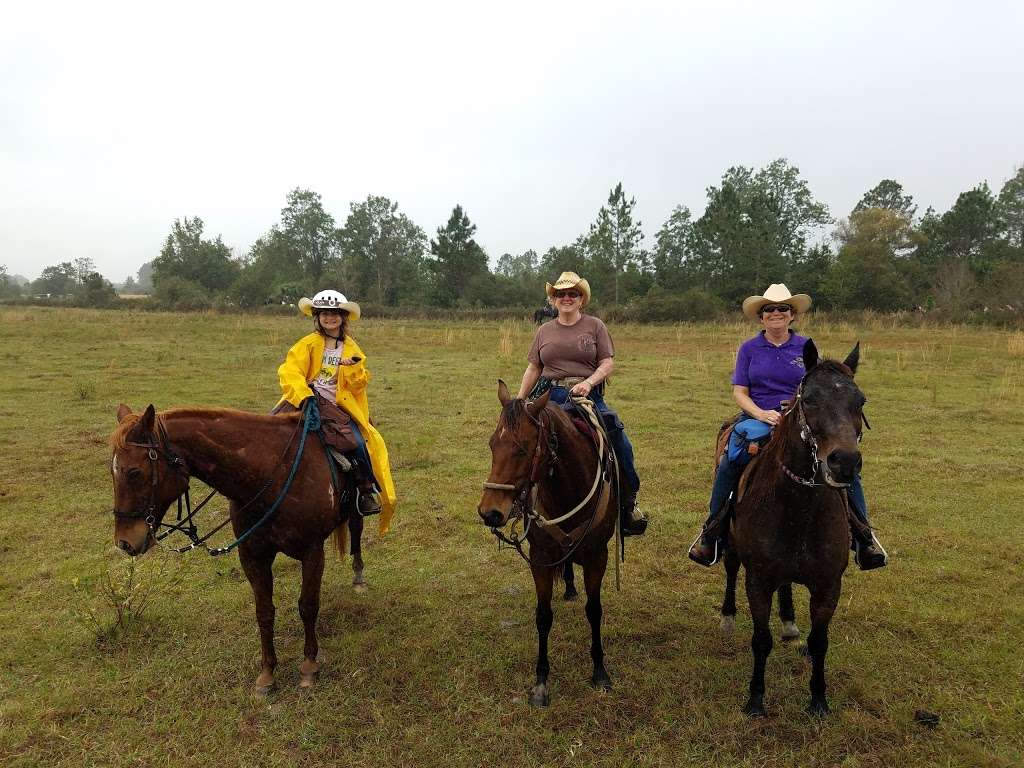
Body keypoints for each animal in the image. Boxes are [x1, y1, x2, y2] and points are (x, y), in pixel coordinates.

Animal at [108, 405, 362, 696]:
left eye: (134, 472)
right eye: (113, 472)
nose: (124, 542)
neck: (271, 475)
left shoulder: (312, 552)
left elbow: (307, 606)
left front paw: (309, 665)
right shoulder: (252, 556)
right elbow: (264, 612)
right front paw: (267, 673)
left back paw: (359, 576)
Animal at [477, 380, 614, 708]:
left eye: (522, 449)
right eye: (492, 444)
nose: (489, 512)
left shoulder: (598, 556)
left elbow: (594, 610)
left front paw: (599, 671)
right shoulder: (540, 559)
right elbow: (543, 615)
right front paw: (540, 682)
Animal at [716, 339, 868, 720]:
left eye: (860, 401)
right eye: (810, 399)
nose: (844, 462)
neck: (798, 507)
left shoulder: (828, 586)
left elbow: (819, 642)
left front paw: (818, 700)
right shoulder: (758, 581)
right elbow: (760, 640)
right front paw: (755, 700)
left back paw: (787, 621)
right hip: (733, 548)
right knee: (729, 569)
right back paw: (727, 617)